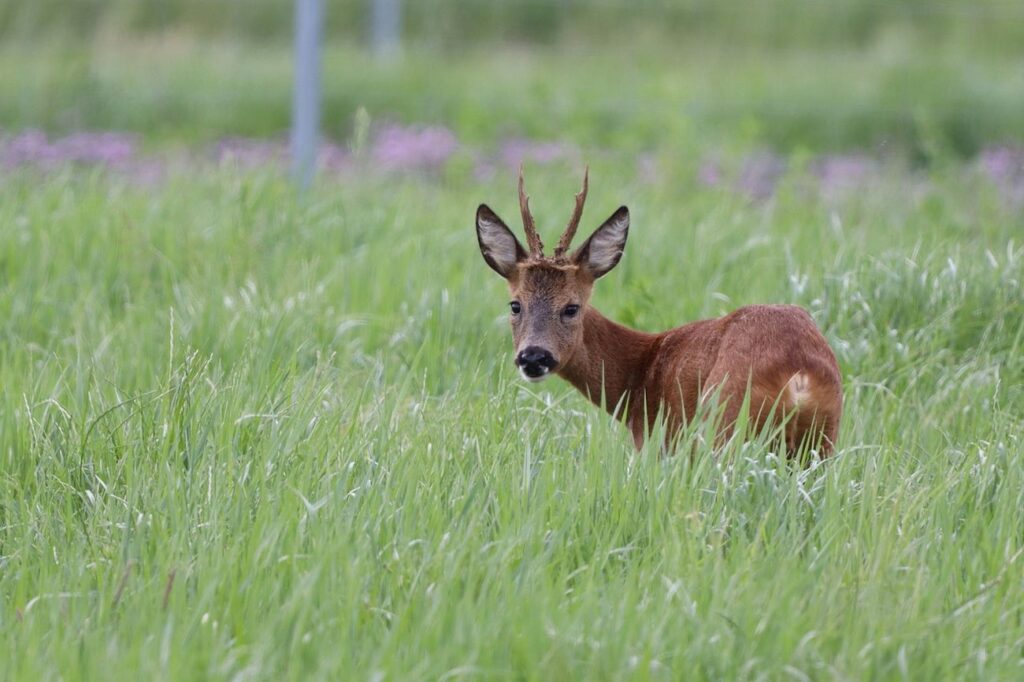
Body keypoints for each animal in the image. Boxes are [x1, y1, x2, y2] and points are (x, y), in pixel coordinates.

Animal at [473, 166, 839, 454]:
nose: (534, 357)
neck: (638, 375)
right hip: (823, 440)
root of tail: (799, 376)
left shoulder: (655, 442)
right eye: (515, 304)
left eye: (571, 307)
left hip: (725, 424)